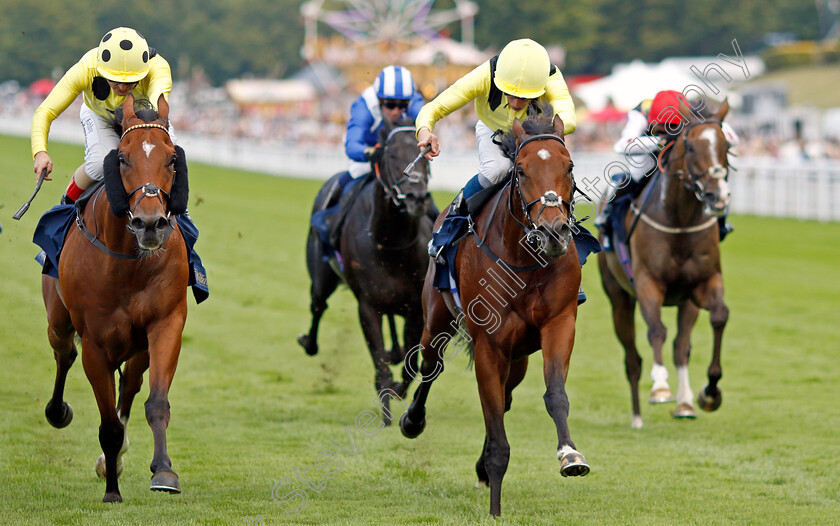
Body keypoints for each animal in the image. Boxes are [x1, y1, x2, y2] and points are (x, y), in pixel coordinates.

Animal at [41, 94, 190, 504]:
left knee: (132, 384)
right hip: (58, 320)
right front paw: (112, 491)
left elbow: (156, 402)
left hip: (137, 346)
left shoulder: (166, 323)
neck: (128, 262)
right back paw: (58, 411)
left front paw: (164, 472)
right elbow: (107, 423)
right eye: (122, 158)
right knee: (63, 354)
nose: (150, 223)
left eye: (172, 160)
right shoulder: (95, 344)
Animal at [298, 117, 434, 426]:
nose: (417, 198)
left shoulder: (414, 307)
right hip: (322, 275)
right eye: (392, 155)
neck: (391, 241)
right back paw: (308, 342)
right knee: (318, 305)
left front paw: (397, 389)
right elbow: (380, 362)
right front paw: (385, 409)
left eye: (425, 155)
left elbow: (410, 364)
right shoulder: (368, 306)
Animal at [600, 98, 732, 428]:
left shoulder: (705, 282)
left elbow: (719, 316)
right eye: (692, 147)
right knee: (632, 358)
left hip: (686, 301)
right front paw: (660, 386)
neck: (680, 220)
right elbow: (656, 330)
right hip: (618, 297)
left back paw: (685, 404)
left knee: (681, 347)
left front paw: (710, 392)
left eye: (725, 145)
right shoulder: (648, 282)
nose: (718, 196)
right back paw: (637, 417)